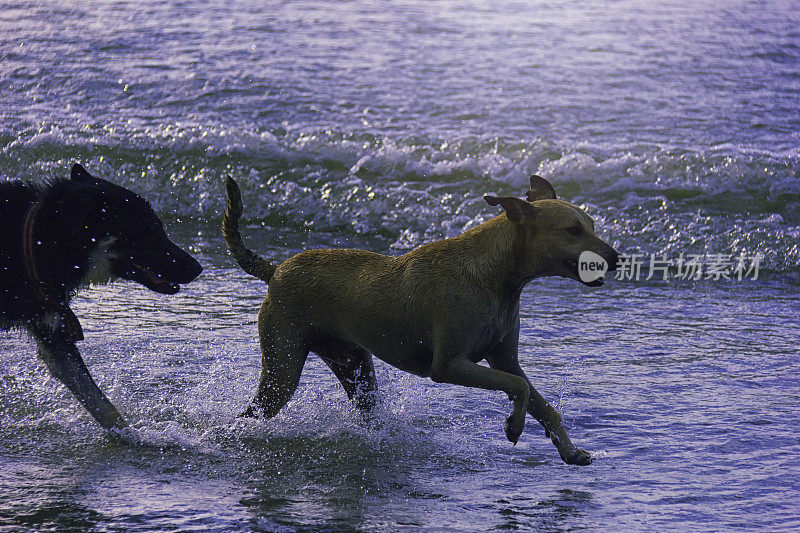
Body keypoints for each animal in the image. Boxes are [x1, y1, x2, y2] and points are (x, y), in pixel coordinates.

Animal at [1, 164, 202, 430]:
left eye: (161, 226)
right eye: (146, 230)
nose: (197, 268)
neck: (36, 240)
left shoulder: (55, 336)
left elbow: (102, 404)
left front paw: (129, 434)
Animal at [223, 174, 620, 462]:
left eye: (592, 224)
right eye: (573, 230)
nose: (616, 258)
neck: (497, 277)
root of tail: (275, 270)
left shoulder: (505, 358)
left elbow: (540, 401)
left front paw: (569, 450)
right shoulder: (448, 365)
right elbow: (517, 386)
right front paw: (514, 425)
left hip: (352, 364)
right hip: (283, 366)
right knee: (251, 411)